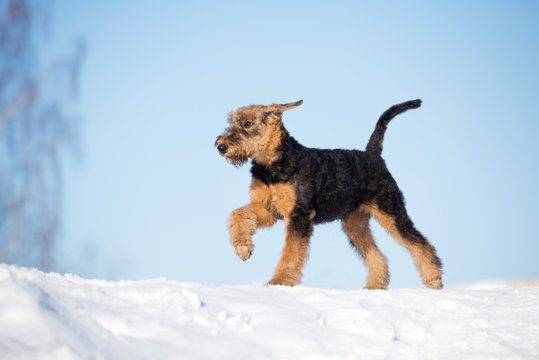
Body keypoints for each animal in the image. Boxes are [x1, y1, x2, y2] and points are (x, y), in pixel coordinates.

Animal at [215, 99, 442, 290]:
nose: (220, 146)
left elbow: (291, 252)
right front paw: (243, 247)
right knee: (378, 256)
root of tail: (372, 154)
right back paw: (374, 287)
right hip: (355, 224)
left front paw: (280, 282)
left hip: (391, 211)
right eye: (231, 121)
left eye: (248, 123)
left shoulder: (299, 215)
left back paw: (434, 280)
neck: (274, 164)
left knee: (420, 243)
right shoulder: (269, 208)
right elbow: (239, 214)